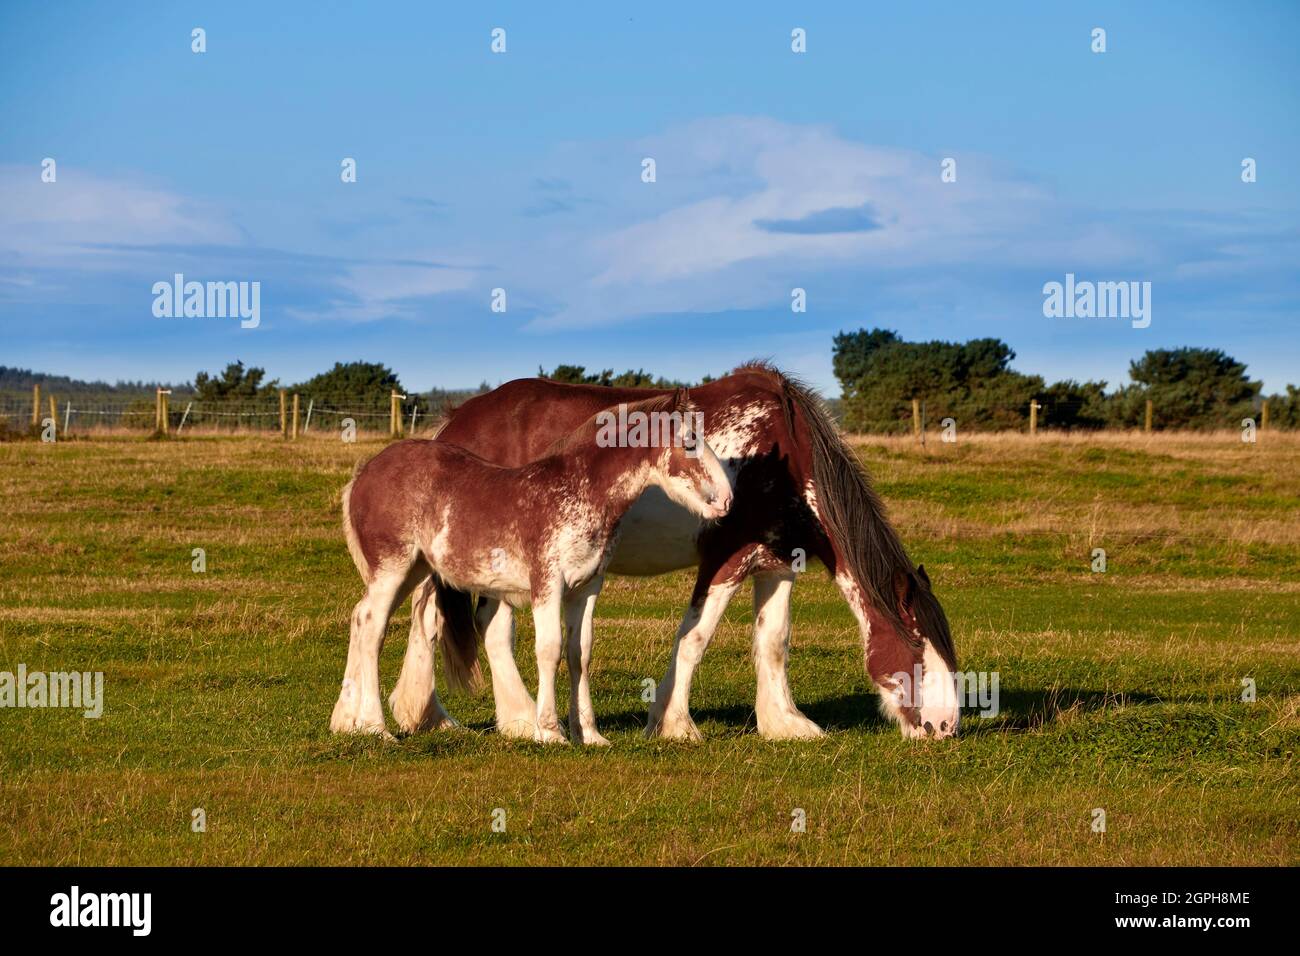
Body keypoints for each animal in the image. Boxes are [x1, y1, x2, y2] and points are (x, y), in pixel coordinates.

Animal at [330, 390, 732, 743]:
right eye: (690, 441)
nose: (726, 500)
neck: (576, 491)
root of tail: (364, 473)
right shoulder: (547, 583)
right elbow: (549, 649)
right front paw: (550, 732)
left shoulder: (586, 589)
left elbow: (579, 653)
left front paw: (590, 734)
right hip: (392, 568)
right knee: (373, 627)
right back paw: (376, 727)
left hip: (413, 569)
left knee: (360, 617)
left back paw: (352, 723)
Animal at [390, 361, 961, 742]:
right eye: (916, 643)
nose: (944, 726)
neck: (784, 453)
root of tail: (455, 420)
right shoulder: (727, 559)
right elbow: (695, 638)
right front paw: (674, 723)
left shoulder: (778, 565)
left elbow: (773, 641)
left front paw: (786, 723)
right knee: (434, 620)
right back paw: (436, 715)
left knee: (484, 626)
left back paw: (509, 718)